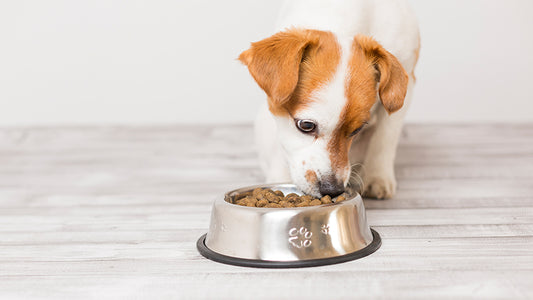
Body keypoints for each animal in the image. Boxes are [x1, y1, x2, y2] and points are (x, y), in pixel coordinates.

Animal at [239, 0, 418, 199]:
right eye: (306, 125)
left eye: (357, 129)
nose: (332, 190)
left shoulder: (405, 83)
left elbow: (385, 137)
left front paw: (377, 176)